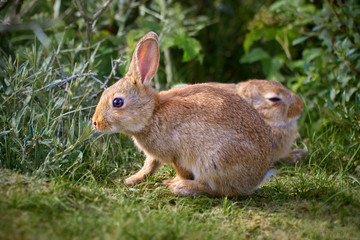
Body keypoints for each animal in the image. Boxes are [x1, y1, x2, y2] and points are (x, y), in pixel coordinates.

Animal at [92, 31, 272, 197]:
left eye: (117, 102)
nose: (95, 122)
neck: (152, 113)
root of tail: (256, 178)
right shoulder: (155, 155)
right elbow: (149, 166)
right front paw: (133, 179)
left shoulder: (177, 155)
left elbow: (180, 171)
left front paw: (173, 181)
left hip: (216, 161)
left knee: (220, 190)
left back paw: (183, 187)